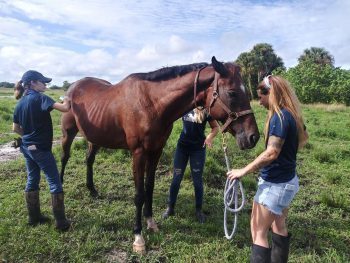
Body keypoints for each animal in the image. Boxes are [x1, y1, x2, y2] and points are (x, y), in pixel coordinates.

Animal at [58, 57, 258, 254]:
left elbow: (149, 187)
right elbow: (139, 194)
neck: (152, 104)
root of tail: (73, 87)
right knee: (64, 157)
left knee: (89, 160)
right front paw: (138, 237)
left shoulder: (156, 150)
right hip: (69, 133)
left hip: (95, 138)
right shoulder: (138, 152)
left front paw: (150, 222)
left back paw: (92, 190)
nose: (253, 137)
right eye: (232, 92)